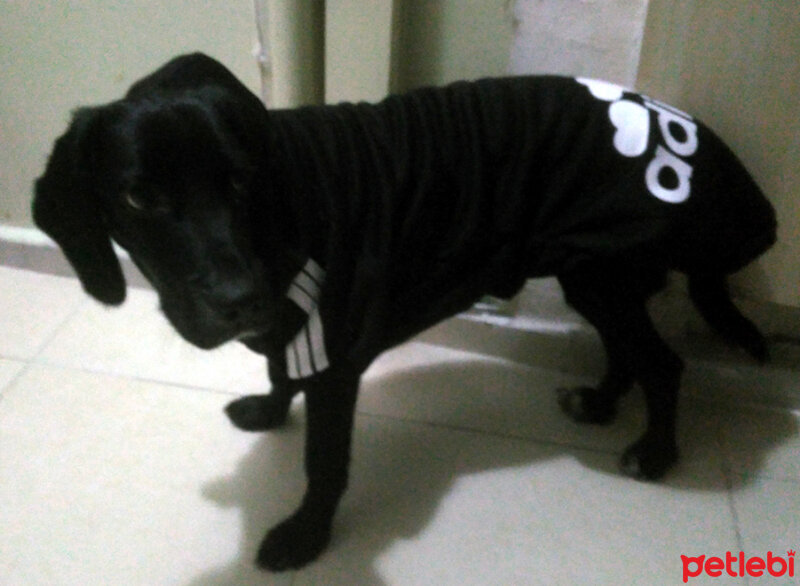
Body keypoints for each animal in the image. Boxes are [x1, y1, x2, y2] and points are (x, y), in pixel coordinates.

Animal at [34, 52, 780, 568]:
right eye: (138, 198)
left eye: (242, 180)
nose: (238, 299)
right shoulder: (291, 328)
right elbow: (278, 372)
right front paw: (269, 410)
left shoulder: (333, 361)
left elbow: (324, 465)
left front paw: (306, 536)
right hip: (593, 275)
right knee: (628, 350)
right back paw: (599, 404)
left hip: (604, 272)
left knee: (665, 365)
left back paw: (655, 453)